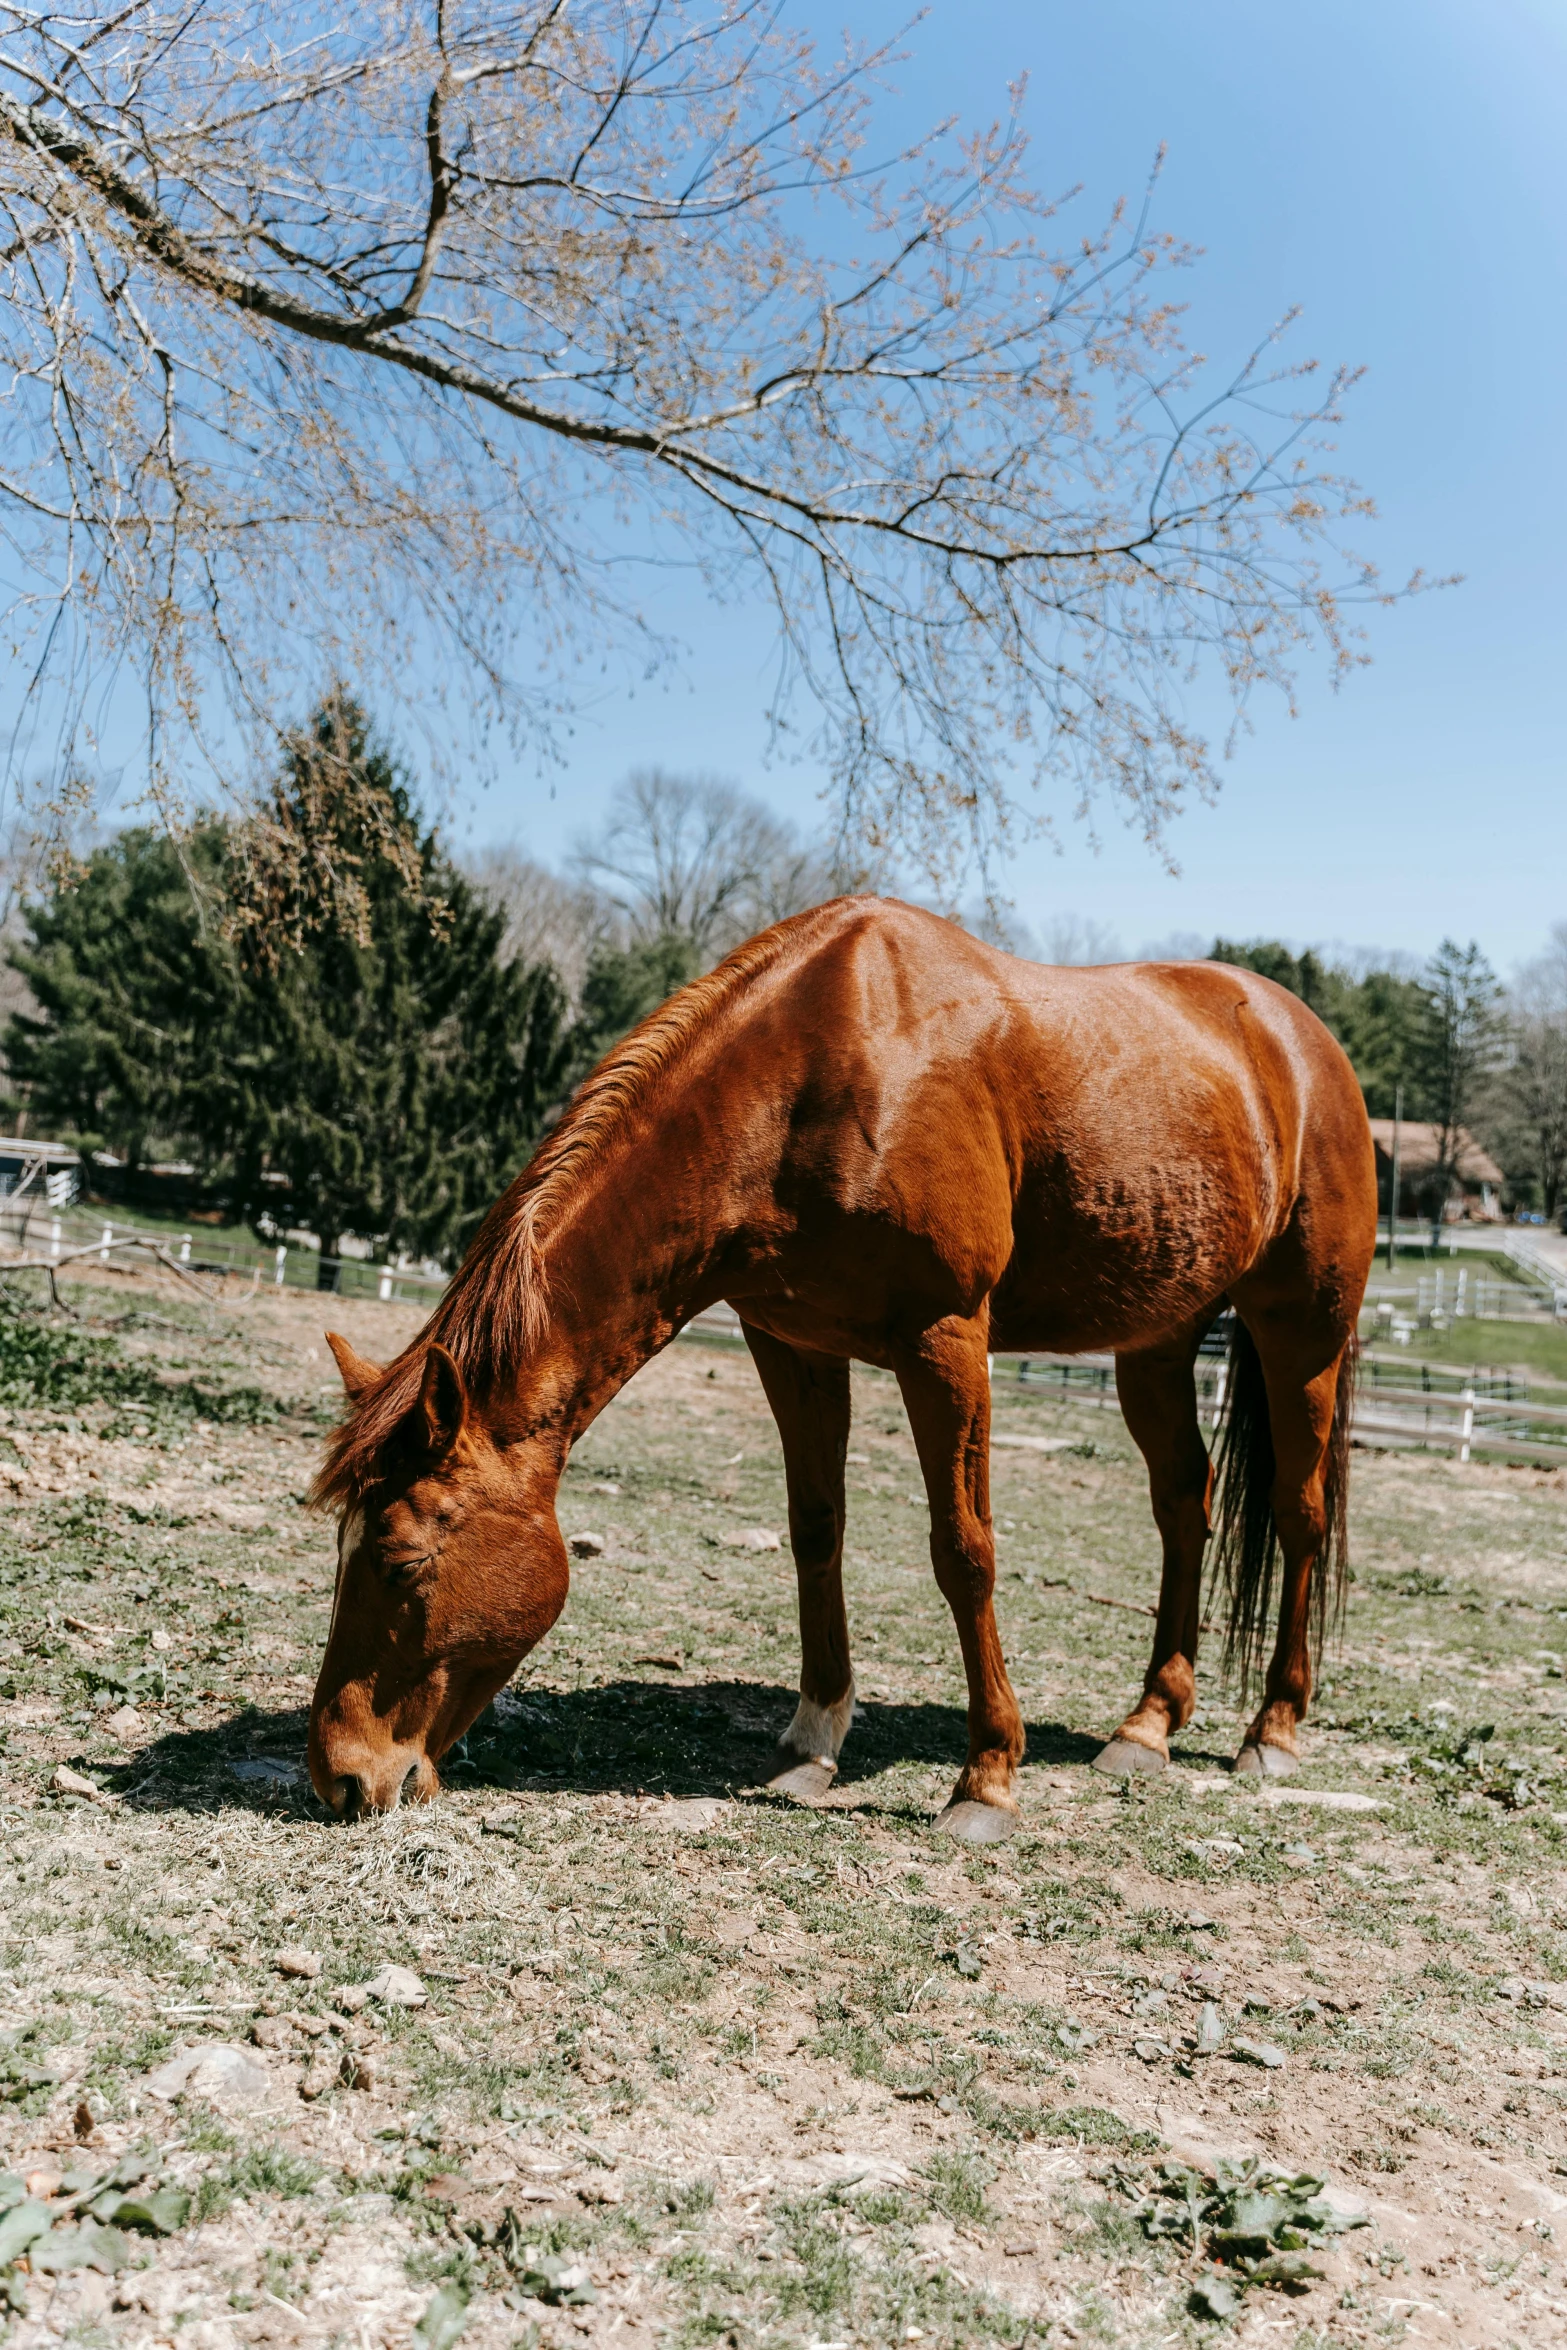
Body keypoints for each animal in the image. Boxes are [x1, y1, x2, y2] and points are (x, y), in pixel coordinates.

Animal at [303, 892, 1372, 1832]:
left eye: (399, 1560)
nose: (343, 1777)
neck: (821, 1072)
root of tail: (1302, 1040)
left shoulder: (946, 1339)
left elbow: (964, 1551)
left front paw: (987, 1779)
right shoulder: (791, 1343)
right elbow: (815, 1529)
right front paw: (812, 1741)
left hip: (1301, 1331)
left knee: (1300, 1514)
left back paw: (1271, 1730)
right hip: (1156, 1341)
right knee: (1184, 1504)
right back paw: (1147, 1724)